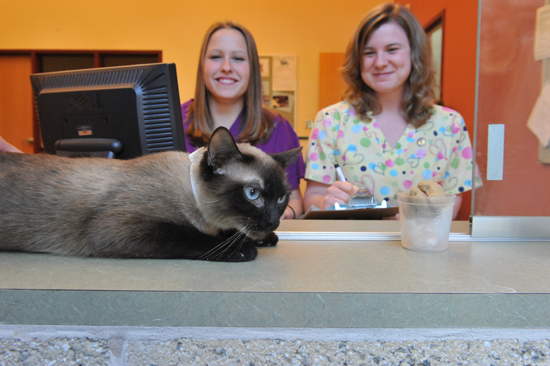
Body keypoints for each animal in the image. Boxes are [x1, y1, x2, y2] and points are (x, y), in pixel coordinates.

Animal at [0, 127, 302, 262]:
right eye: (253, 194)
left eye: (281, 199)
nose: (273, 221)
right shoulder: (118, 228)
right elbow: (190, 236)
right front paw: (243, 248)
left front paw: (264, 238)